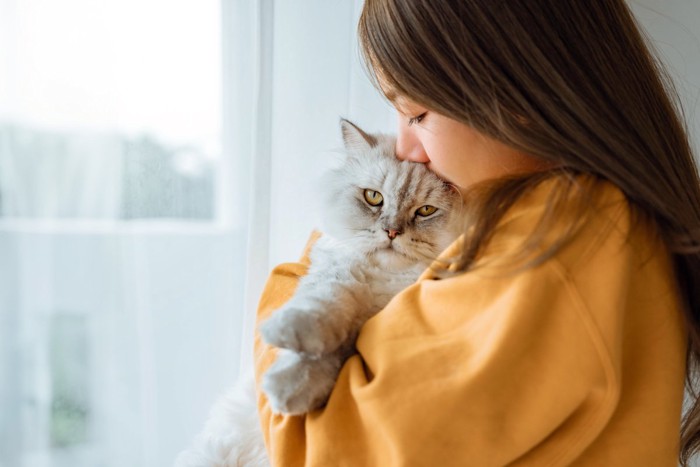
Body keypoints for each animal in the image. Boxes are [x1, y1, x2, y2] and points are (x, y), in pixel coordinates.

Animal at [174, 119, 464, 467]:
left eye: (425, 210)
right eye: (373, 197)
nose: (392, 232)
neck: (381, 281)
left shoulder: (361, 336)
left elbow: (330, 361)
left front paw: (287, 391)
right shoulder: (335, 277)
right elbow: (318, 314)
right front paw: (289, 347)